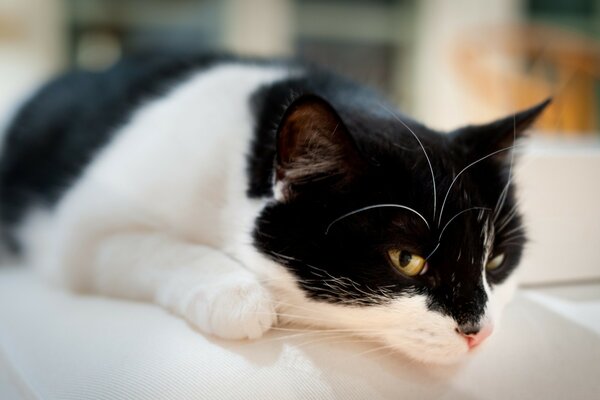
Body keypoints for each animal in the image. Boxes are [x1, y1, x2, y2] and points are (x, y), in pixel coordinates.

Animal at [0, 54, 548, 366]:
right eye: (405, 260)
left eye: (495, 260)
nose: (479, 333)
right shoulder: (85, 227)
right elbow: (150, 246)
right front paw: (237, 296)